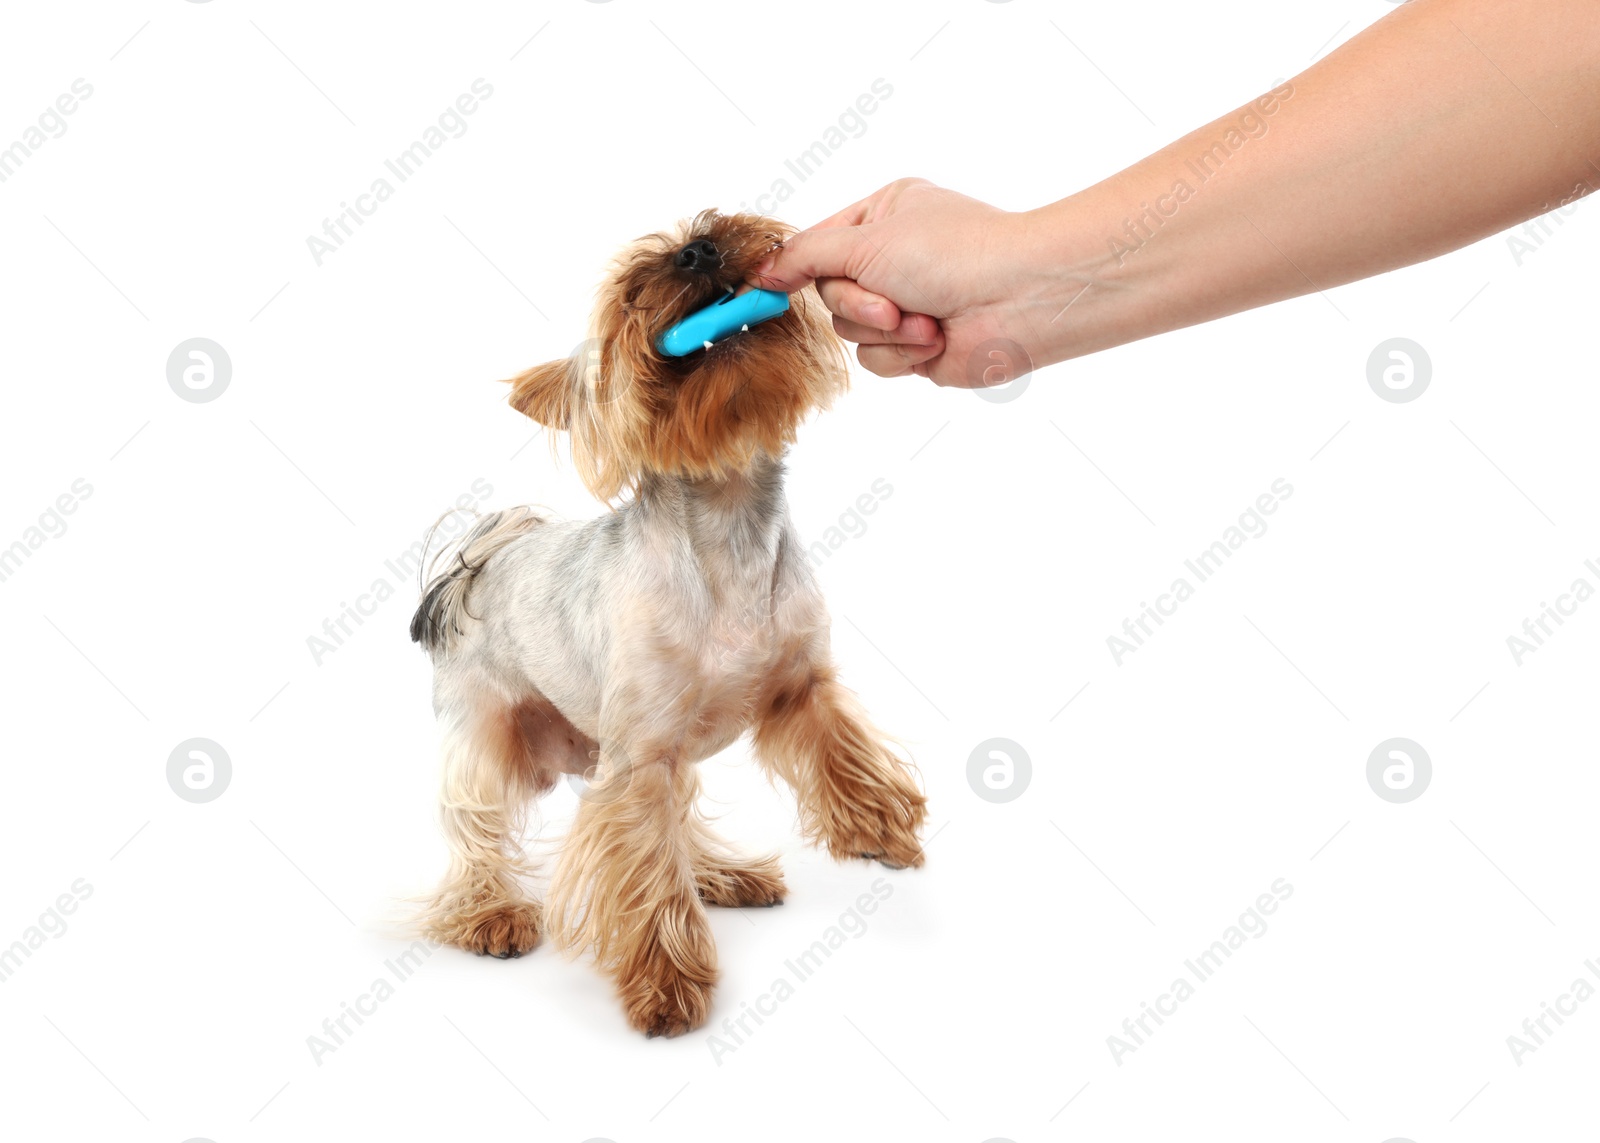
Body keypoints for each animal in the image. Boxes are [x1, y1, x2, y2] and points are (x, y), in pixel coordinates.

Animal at [409, 206, 928, 1030]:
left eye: (715, 223)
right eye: (629, 297)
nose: (697, 252)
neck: (727, 514)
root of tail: (481, 561)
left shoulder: (799, 686)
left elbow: (841, 749)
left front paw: (881, 827)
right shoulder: (639, 756)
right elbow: (646, 868)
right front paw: (665, 981)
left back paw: (721, 875)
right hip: (490, 731)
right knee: (474, 824)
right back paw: (487, 914)